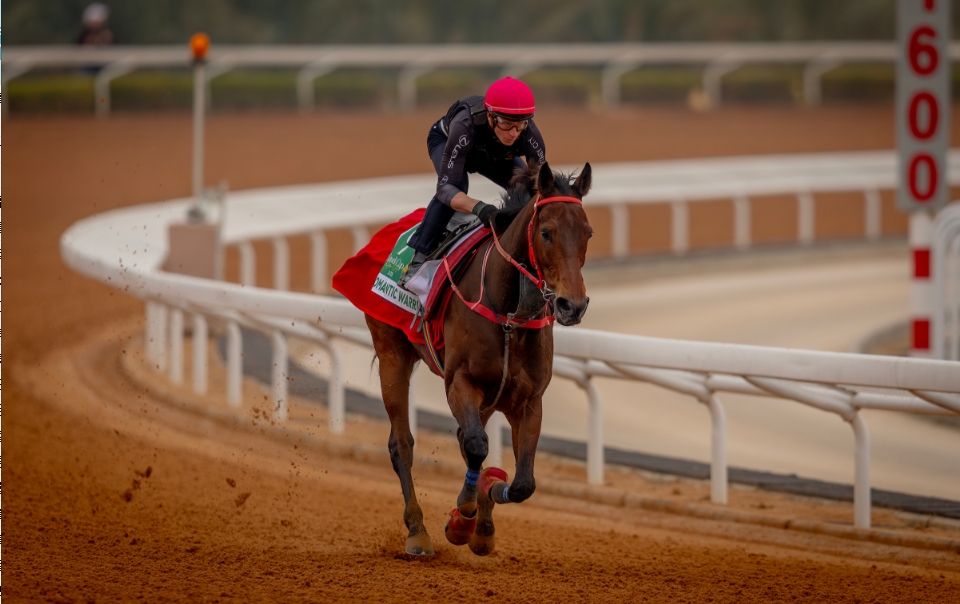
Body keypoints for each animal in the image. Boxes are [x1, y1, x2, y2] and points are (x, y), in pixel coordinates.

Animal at [365, 161, 593, 556]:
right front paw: (463, 519)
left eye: (588, 233)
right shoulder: (460, 381)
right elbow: (475, 444)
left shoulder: (527, 400)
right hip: (391, 352)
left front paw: (484, 512)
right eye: (546, 232)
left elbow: (522, 482)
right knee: (402, 444)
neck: (510, 317)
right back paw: (417, 531)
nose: (572, 306)